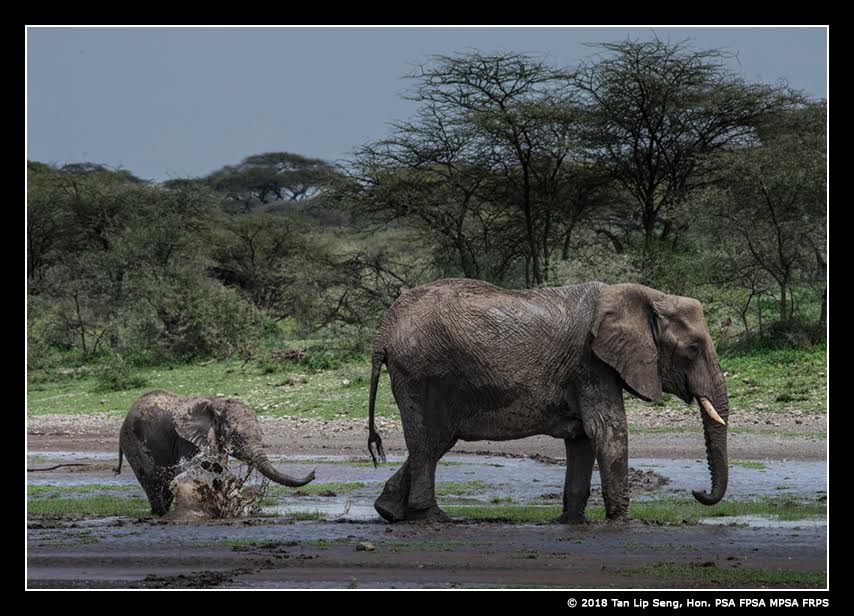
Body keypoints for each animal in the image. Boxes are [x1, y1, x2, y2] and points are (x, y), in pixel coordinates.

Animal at [113, 390, 314, 516]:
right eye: (237, 436)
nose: (313, 473)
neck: (217, 404)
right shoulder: (186, 440)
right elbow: (190, 472)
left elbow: (216, 470)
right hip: (132, 440)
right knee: (150, 480)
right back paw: (159, 513)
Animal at [366, 280, 728, 524]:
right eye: (693, 349)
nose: (699, 493)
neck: (649, 297)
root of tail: (385, 328)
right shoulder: (590, 364)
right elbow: (608, 431)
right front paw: (624, 522)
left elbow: (583, 436)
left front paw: (572, 521)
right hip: (424, 374)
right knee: (430, 440)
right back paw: (433, 516)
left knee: (434, 442)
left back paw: (390, 512)